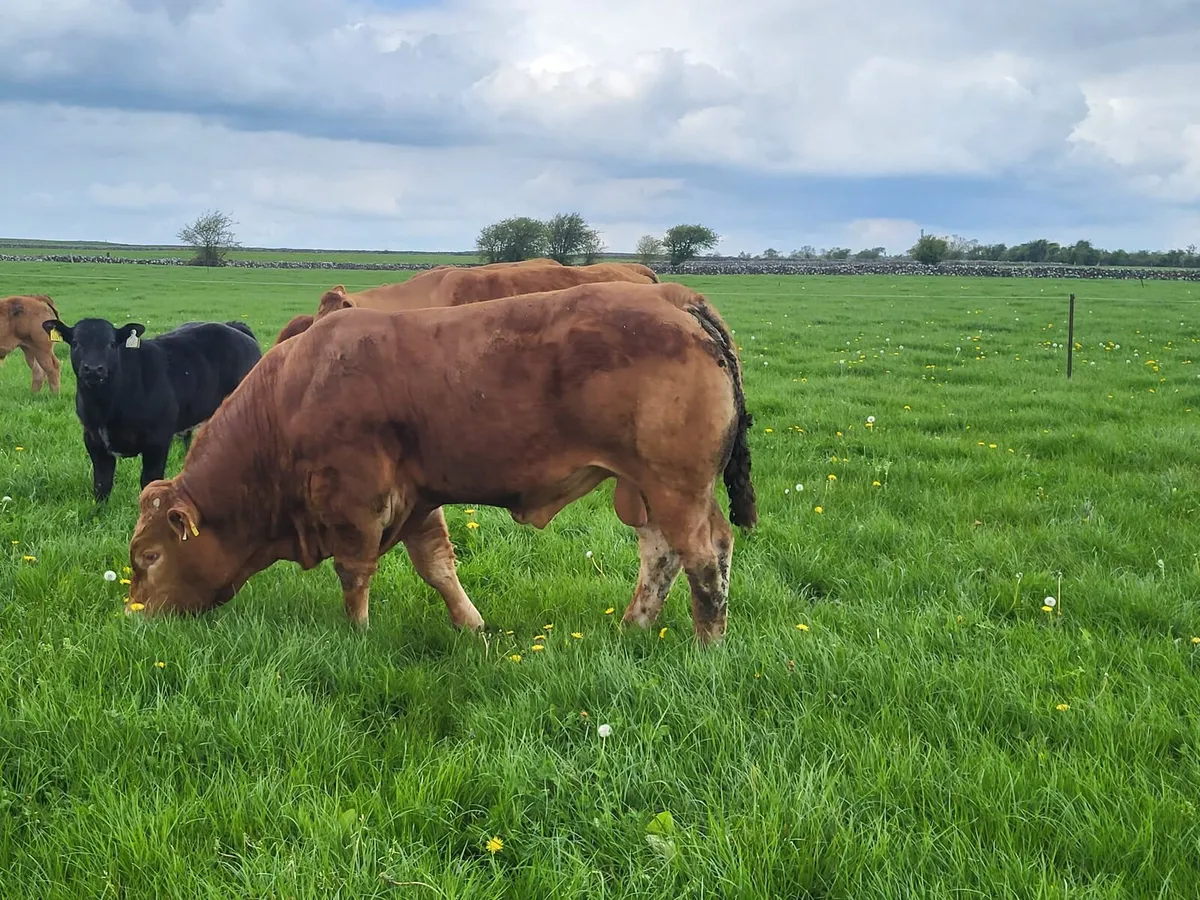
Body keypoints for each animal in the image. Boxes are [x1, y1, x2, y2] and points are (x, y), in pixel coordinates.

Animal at [41, 316, 264, 502]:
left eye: (111, 344)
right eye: (76, 343)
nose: (94, 369)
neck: (108, 406)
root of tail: (233, 326)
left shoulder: (158, 441)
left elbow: (149, 481)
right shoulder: (94, 439)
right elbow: (102, 483)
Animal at [124, 280, 757, 645]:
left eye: (150, 556)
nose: (136, 616)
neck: (289, 400)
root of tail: (675, 300)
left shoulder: (356, 503)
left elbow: (354, 573)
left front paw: (356, 635)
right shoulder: (418, 499)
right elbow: (437, 567)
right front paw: (471, 626)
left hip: (676, 487)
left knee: (705, 558)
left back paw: (707, 646)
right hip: (646, 489)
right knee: (662, 556)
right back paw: (634, 627)